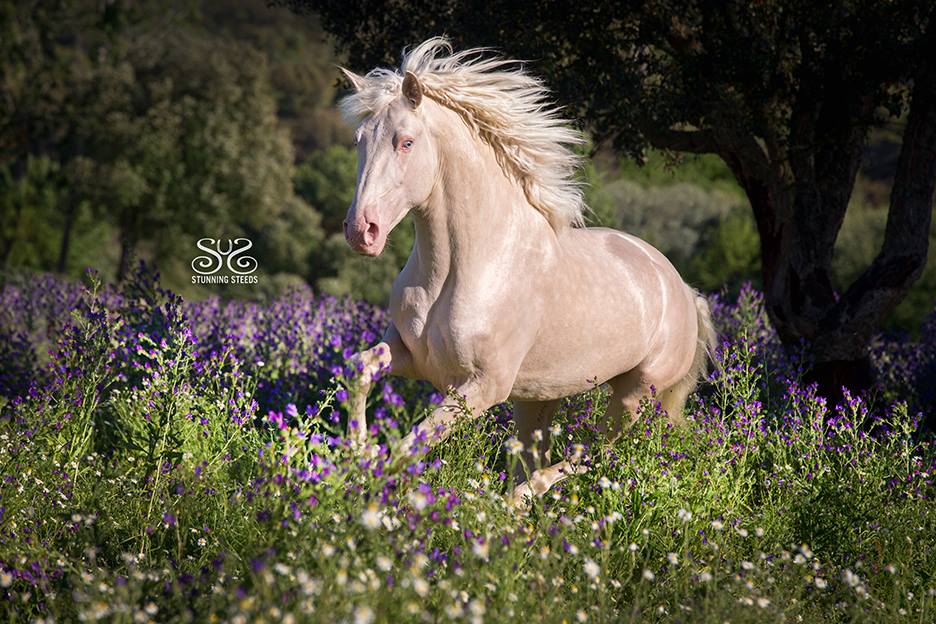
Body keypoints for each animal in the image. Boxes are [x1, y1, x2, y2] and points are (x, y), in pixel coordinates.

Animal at [344, 37, 716, 508]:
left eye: (405, 142)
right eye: (359, 140)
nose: (362, 231)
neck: (462, 267)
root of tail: (684, 290)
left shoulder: (483, 387)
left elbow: (410, 446)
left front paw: (372, 488)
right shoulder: (412, 357)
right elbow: (360, 367)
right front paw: (357, 455)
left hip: (633, 397)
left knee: (588, 455)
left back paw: (516, 503)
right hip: (536, 400)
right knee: (543, 456)